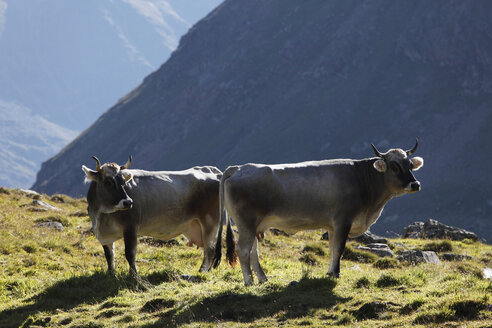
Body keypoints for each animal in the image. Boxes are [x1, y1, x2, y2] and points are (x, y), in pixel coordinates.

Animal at [81, 156, 224, 276]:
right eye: (108, 182)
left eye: (123, 182)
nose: (128, 202)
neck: (103, 216)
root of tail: (214, 171)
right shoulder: (104, 235)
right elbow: (109, 255)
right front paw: (111, 274)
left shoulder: (131, 227)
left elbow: (130, 253)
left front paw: (133, 275)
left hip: (210, 221)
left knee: (210, 249)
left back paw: (201, 272)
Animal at [221, 140, 424, 286]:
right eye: (394, 166)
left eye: (410, 165)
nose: (415, 184)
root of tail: (239, 168)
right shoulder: (343, 220)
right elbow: (340, 248)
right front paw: (336, 274)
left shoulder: (333, 225)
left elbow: (333, 248)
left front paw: (330, 272)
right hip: (246, 222)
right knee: (243, 250)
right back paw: (249, 282)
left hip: (253, 225)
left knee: (253, 251)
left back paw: (262, 278)